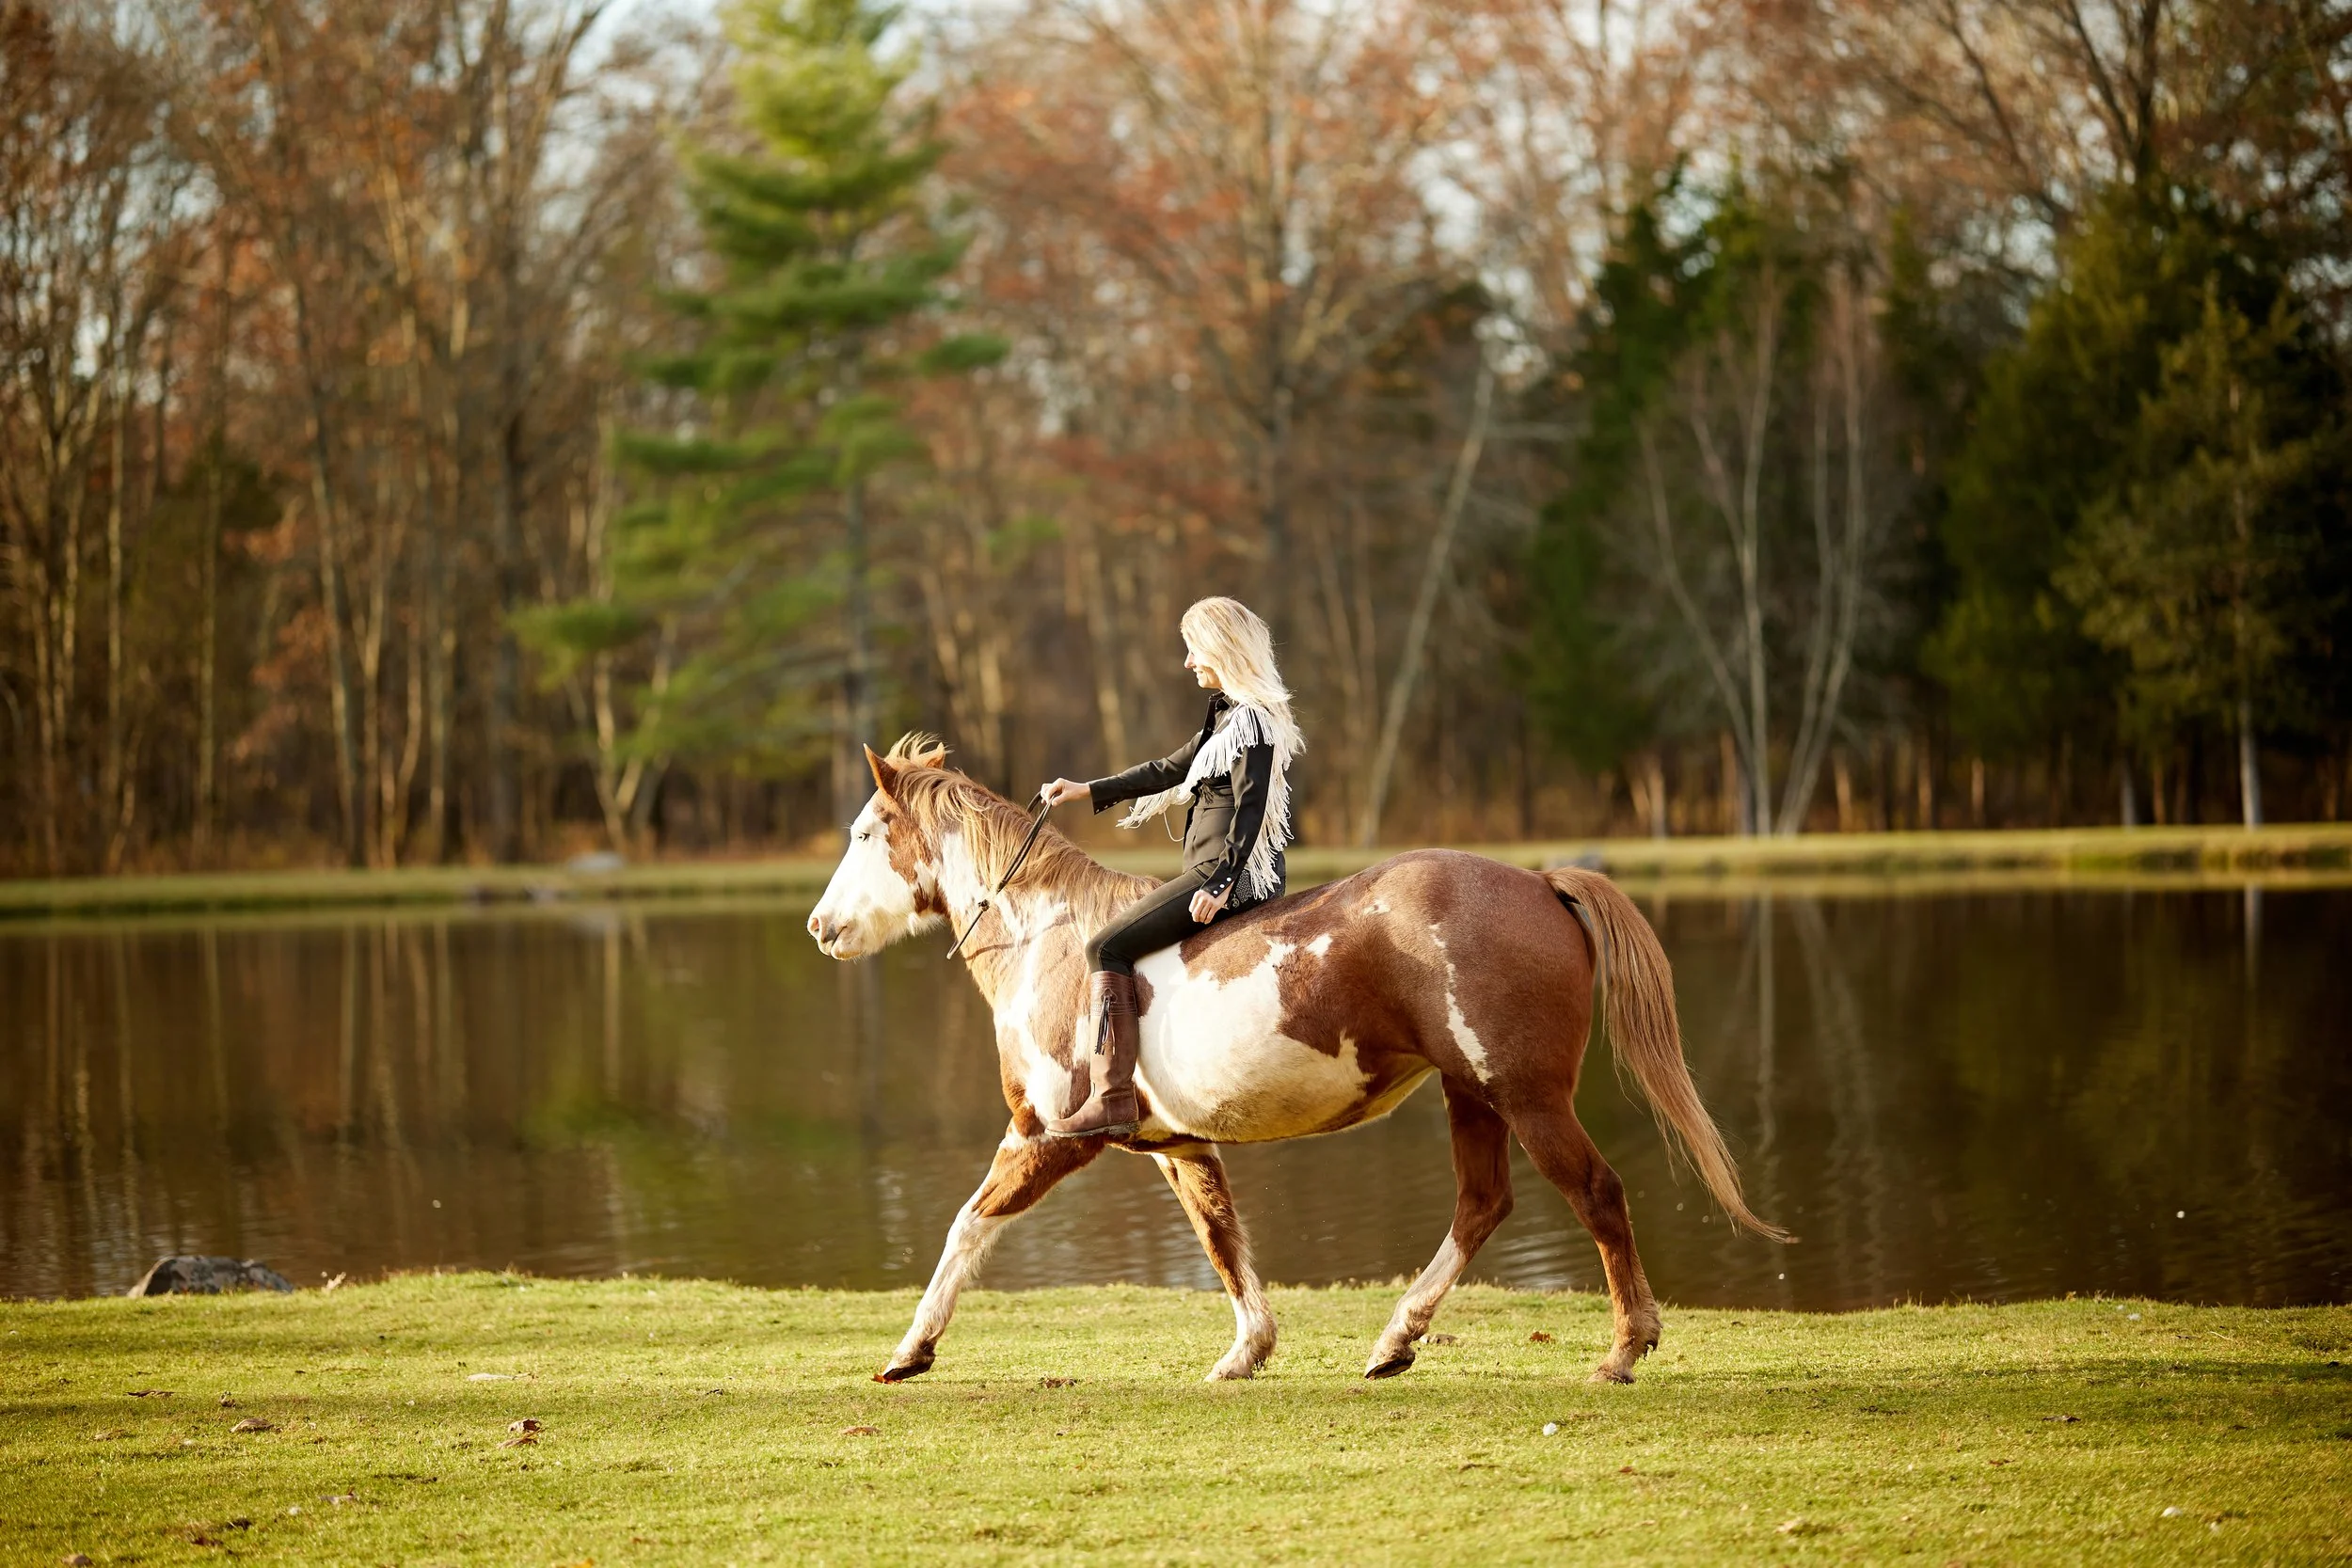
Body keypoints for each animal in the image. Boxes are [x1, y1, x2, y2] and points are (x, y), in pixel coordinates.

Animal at [806, 735, 1786, 1386]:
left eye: (864, 832)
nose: (820, 926)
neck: (1051, 946)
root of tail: (1539, 881)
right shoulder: (1178, 1144)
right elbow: (1220, 1238)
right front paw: (1247, 1351)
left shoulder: (1046, 1134)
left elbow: (965, 1226)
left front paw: (910, 1349)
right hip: (1473, 1093)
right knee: (1482, 1205)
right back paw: (1396, 1339)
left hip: (1527, 1095)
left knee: (1596, 1193)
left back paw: (1623, 1347)